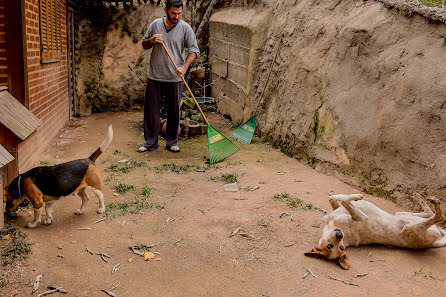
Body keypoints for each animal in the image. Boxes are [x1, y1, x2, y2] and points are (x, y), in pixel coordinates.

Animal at [304, 192, 446, 268]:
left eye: (341, 247)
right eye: (331, 246)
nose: (340, 234)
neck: (331, 225)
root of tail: (434, 243)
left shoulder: (336, 211)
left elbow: (334, 198)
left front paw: (353, 197)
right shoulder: (363, 217)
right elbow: (344, 200)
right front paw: (357, 196)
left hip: (401, 214)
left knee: (430, 213)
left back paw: (421, 197)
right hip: (408, 229)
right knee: (440, 216)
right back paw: (434, 202)